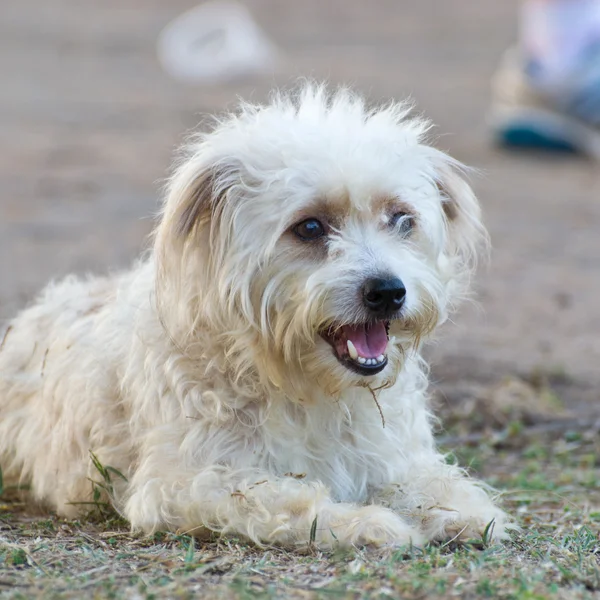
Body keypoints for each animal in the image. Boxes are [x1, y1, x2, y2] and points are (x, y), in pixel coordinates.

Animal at [0, 84, 510, 548]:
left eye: (401, 219)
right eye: (309, 226)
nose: (387, 291)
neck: (301, 385)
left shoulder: (392, 456)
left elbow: (433, 482)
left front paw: (461, 512)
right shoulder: (186, 483)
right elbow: (293, 501)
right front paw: (364, 523)